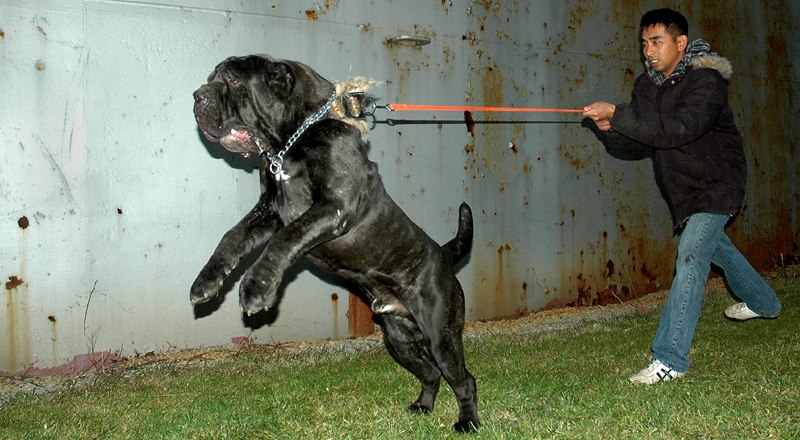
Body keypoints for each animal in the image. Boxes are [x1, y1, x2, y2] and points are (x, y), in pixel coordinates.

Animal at [191, 55, 478, 434]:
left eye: (235, 81)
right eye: (212, 77)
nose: (197, 96)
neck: (292, 141)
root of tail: (444, 256)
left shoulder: (333, 206)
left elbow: (285, 238)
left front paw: (257, 288)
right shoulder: (270, 210)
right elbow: (233, 236)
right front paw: (206, 281)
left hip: (440, 336)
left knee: (463, 379)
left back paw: (468, 421)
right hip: (399, 339)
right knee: (430, 373)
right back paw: (423, 406)